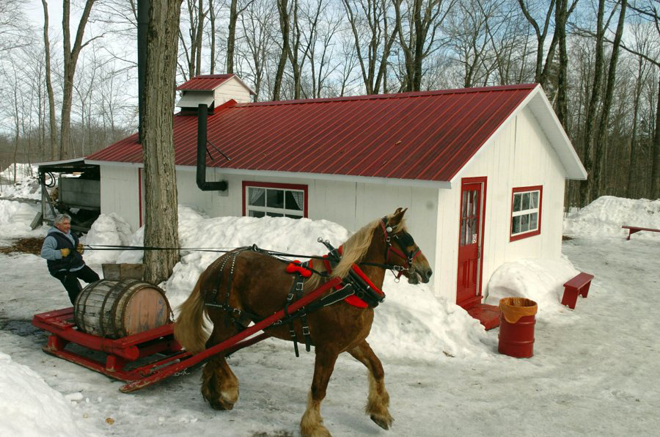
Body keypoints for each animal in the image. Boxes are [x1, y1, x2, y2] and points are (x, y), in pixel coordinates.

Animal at [175, 206, 434, 434]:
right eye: (405, 239)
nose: (428, 271)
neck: (348, 286)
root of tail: (214, 266)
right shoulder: (328, 348)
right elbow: (319, 388)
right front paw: (312, 426)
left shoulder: (354, 343)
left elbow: (378, 368)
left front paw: (380, 412)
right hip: (229, 320)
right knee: (214, 349)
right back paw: (227, 390)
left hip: (239, 322)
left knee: (213, 351)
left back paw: (213, 393)